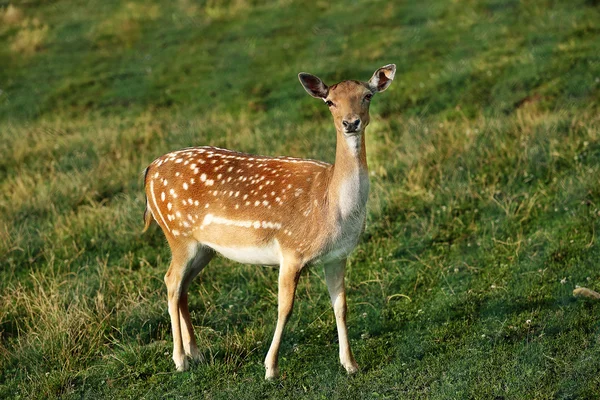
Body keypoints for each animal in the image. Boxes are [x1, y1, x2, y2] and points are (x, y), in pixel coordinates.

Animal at [140, 64, 394, 380]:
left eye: (367, 95)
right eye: (330, 102)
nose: (351, 123)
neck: (332, 208)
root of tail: (149, 170)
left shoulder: (338, 256)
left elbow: (341, 305)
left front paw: (350, 364)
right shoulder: (291, 250)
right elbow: (285, 308)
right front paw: (270, 368)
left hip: (204, 248)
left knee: (183, 286)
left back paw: (196, 353)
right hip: (177, 234)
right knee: (171, 281)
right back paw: (179, 360)